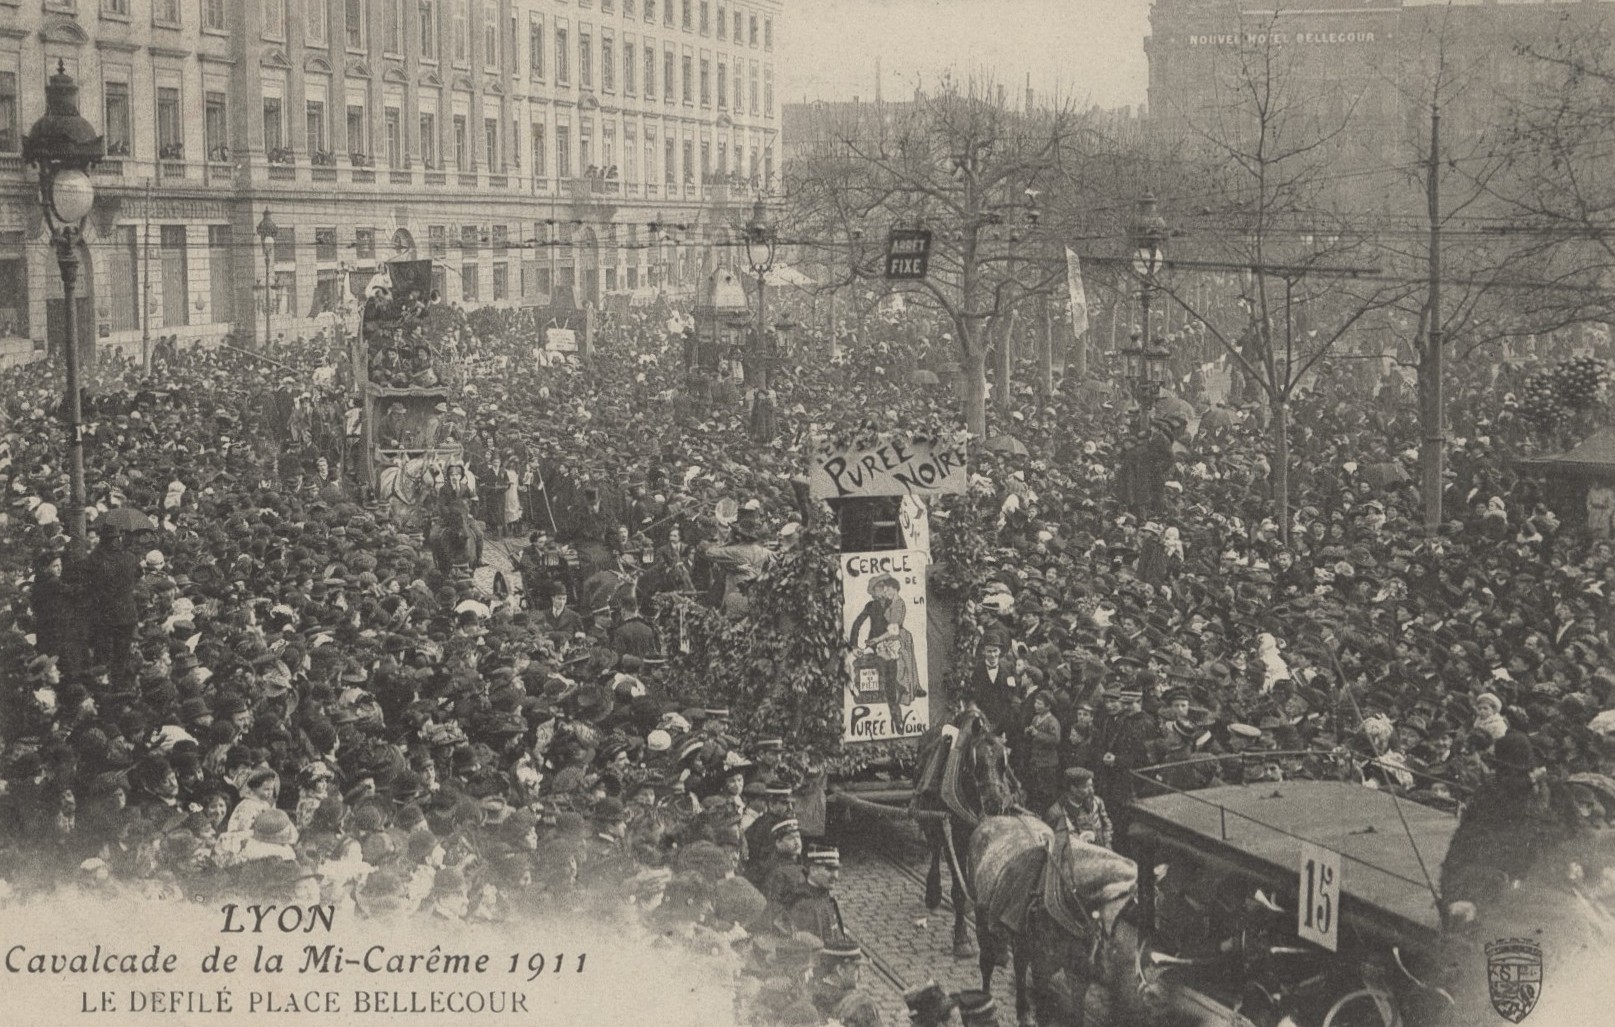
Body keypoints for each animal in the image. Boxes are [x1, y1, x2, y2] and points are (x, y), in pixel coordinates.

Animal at [910, 710, 1020, 955]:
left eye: (1003, 763)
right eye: (976, 762)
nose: (994, 804)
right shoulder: (955, 838)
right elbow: (959, 891)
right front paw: (962, 939)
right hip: (932, 819)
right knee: (936, 849)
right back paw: (933, 891)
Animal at [962, 813, 1143, 1020]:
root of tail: (995, 818)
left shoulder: (1079, 974)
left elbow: (1077, 1014)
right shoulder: (1042, 969)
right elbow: (1043, 1012)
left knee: (1019, 966)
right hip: (981, 917)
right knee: (987, 962)